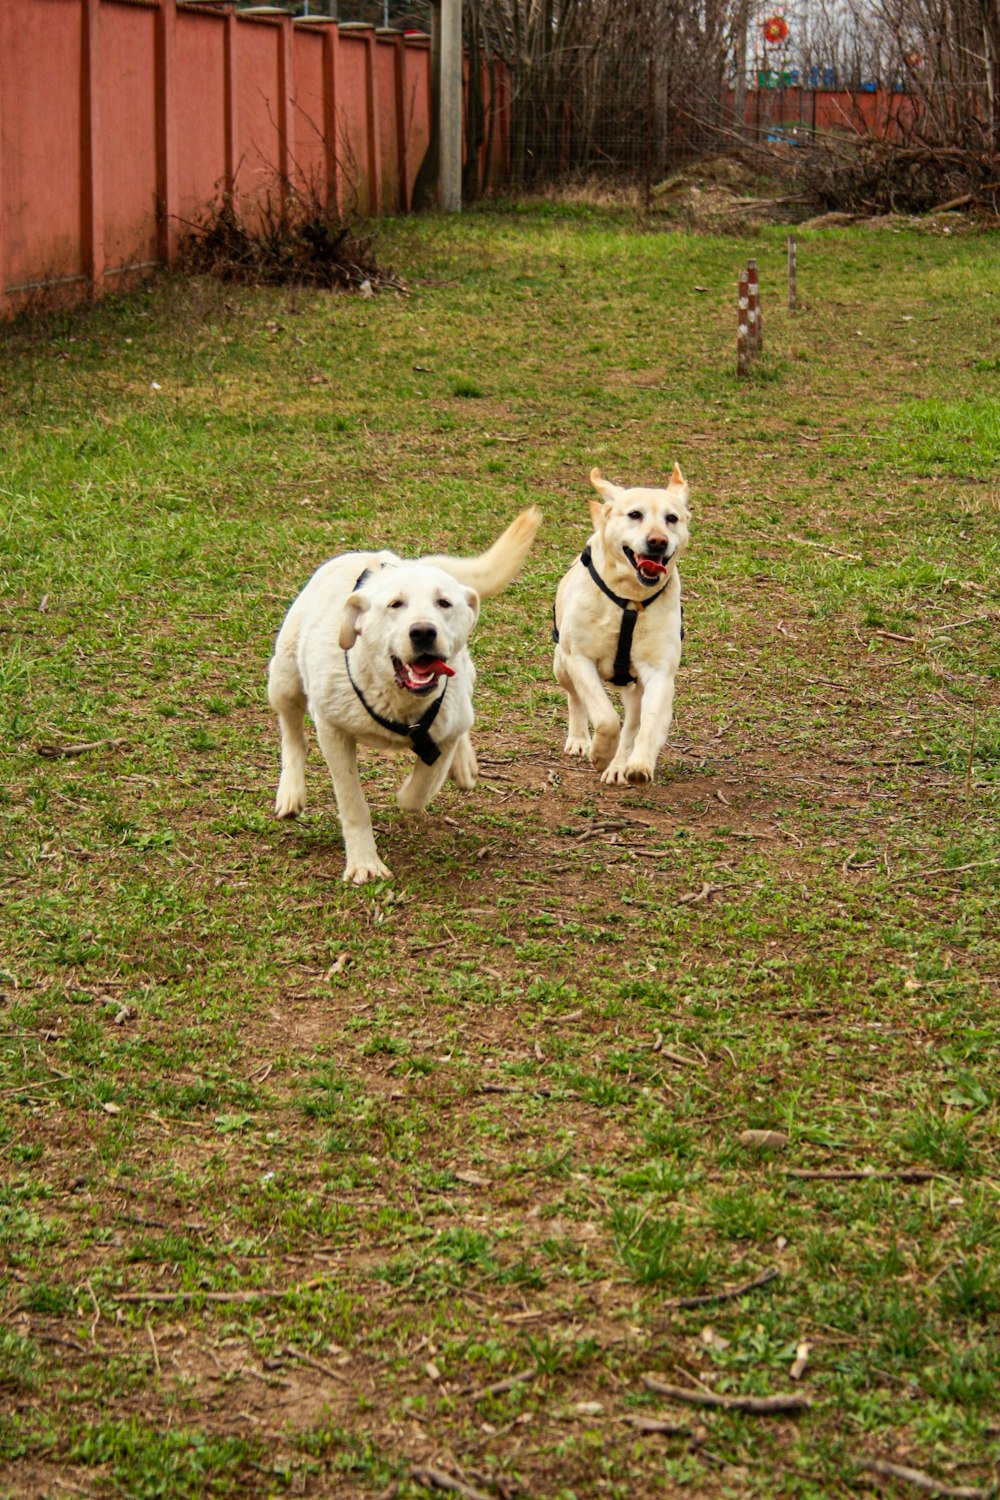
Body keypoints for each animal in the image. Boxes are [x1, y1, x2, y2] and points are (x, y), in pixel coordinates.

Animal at [268, 507, 539, 876]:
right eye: (395, 605)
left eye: (444, 603)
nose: (423, 632)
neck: (400, 700)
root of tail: (381, 557)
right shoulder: (333, 730)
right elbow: (353, 802)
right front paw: (365, 863)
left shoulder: (444, 729)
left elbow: (420, 789)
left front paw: (417, 789)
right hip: (285, 679)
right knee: (293, 736)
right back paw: (291, 791)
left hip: (464, 681)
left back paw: (463, 763)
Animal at [551, 468, 692, 786]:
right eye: (635, 514)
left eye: (672, 518)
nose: (658, 541)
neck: (630, 600)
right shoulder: (579, 659)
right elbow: (605, 717)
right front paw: (600, 753)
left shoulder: (660, 674)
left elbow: (647, 725)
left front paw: (637, 764)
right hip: (561, 664)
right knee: (575, 697)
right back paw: (580, 739)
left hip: (634, 689)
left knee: (633, 723)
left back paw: (620, 765)